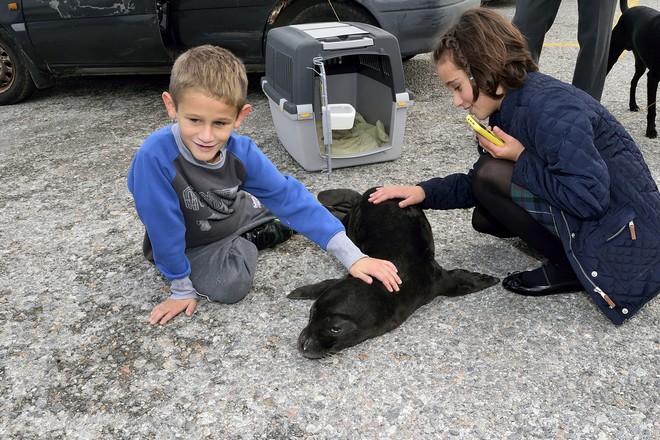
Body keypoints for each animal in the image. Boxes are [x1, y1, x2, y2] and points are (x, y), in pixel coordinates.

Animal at [287, 188, 499, 359]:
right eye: (313, 311)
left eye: (336, 328)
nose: (304, 343)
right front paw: (298, 292)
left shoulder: (435, 279)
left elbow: (458, 282)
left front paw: (489, 279)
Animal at [607, 0, 660, 138]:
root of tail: (627, 10)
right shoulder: (653, 77)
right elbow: (652, 109)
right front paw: (651, 130)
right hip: (612, 56)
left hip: (641, 65)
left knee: (633, 82)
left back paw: (633, 105)